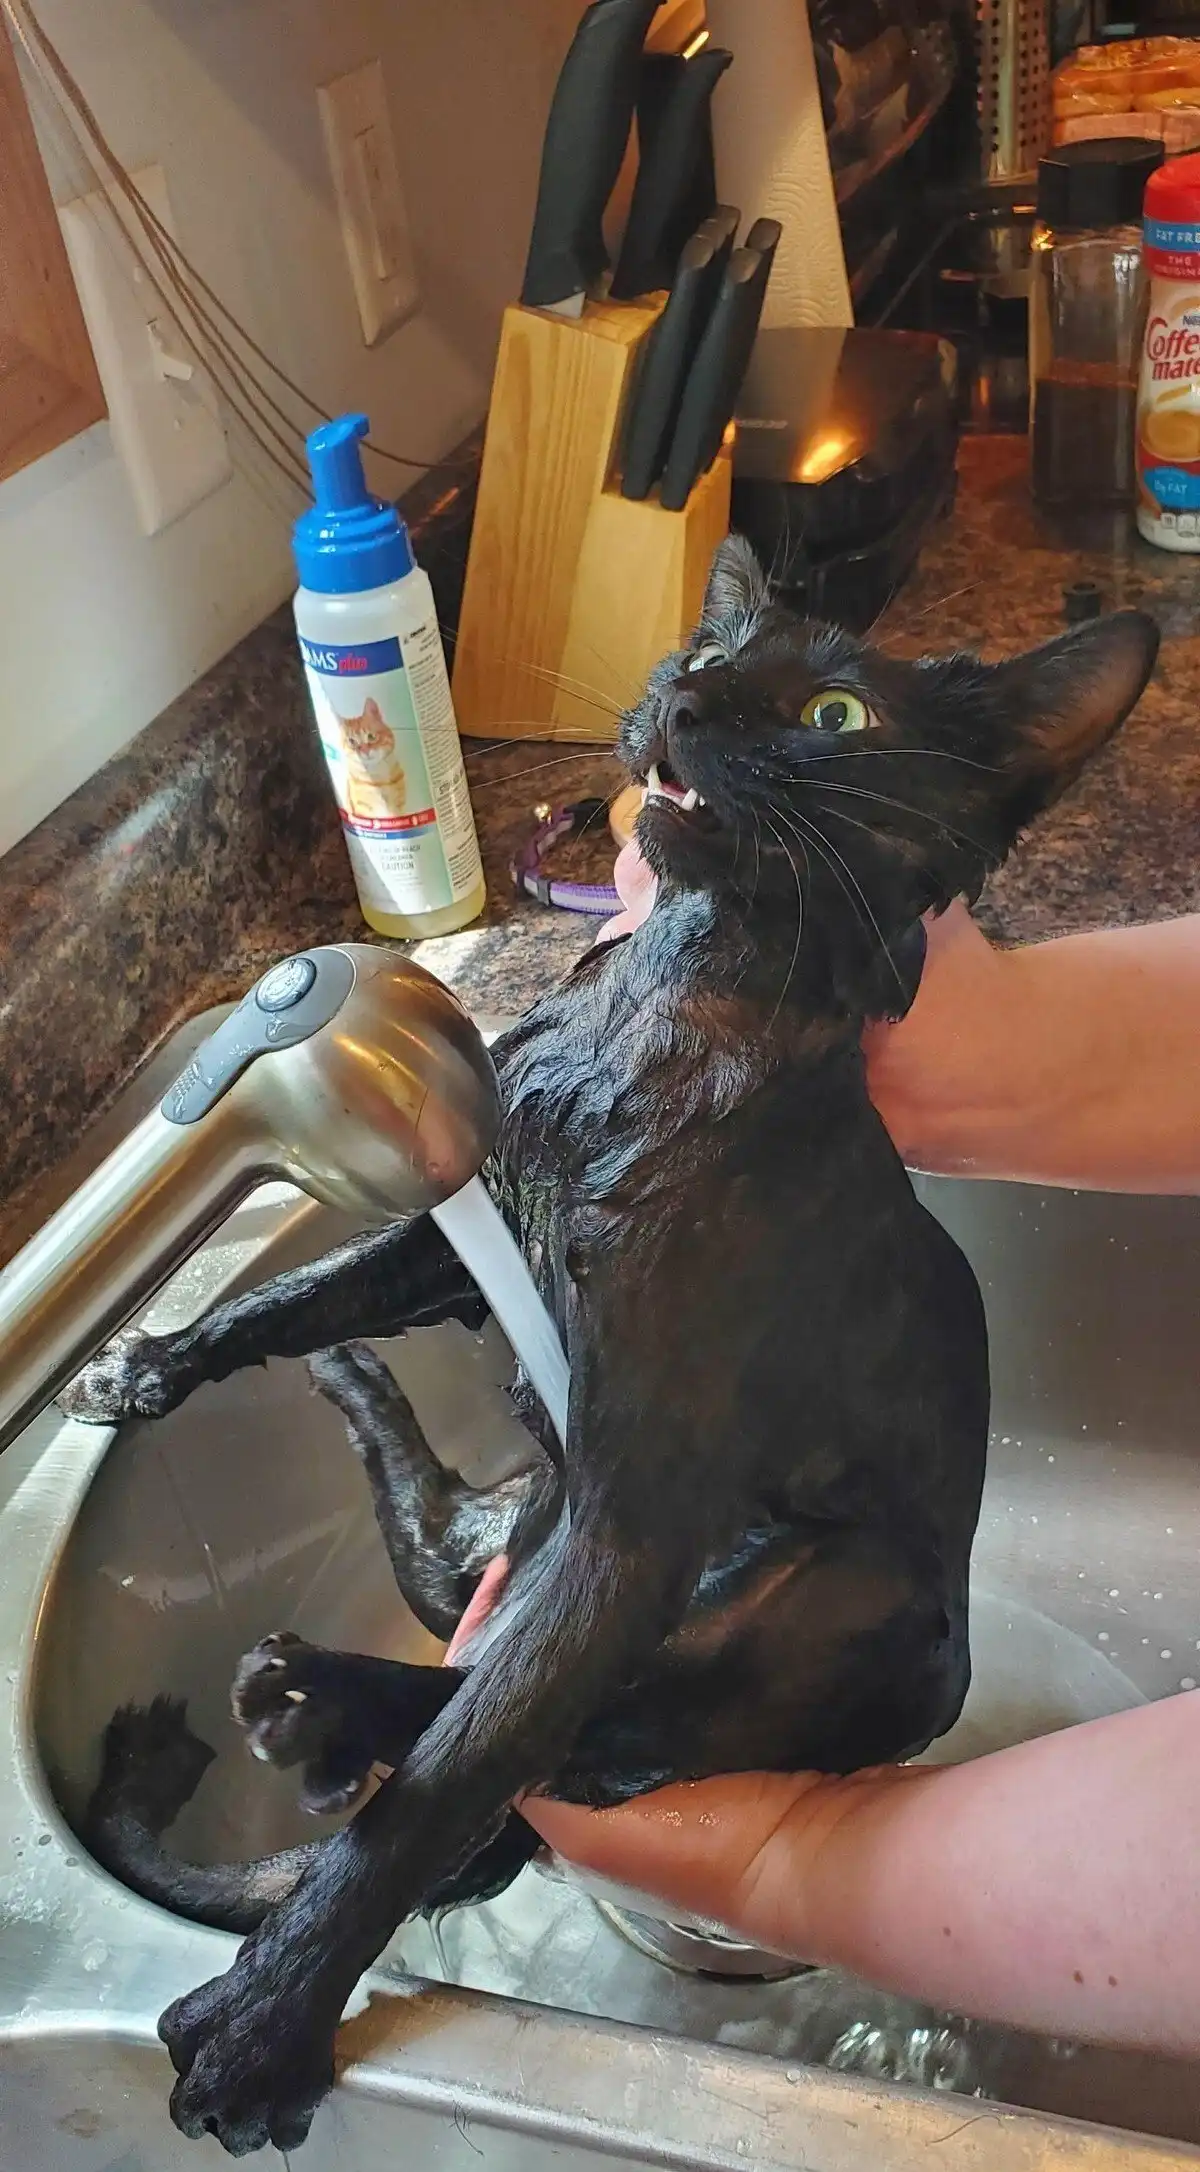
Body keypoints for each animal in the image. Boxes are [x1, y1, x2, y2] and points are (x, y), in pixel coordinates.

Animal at [63, 537, 1158, 2154]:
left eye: (835, 714)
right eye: (710, 651)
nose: (682, 697)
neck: (668, 1002)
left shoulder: (631, 1523)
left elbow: (453, 1779)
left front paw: (270, 2019)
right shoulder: (462, 1233)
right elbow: (300, 1288)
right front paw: (161, 1356)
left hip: (828, 1594)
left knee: (590, 1727)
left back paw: (326, 1708)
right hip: (523, 1524)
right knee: (463, 1589)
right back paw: (335, 1554)